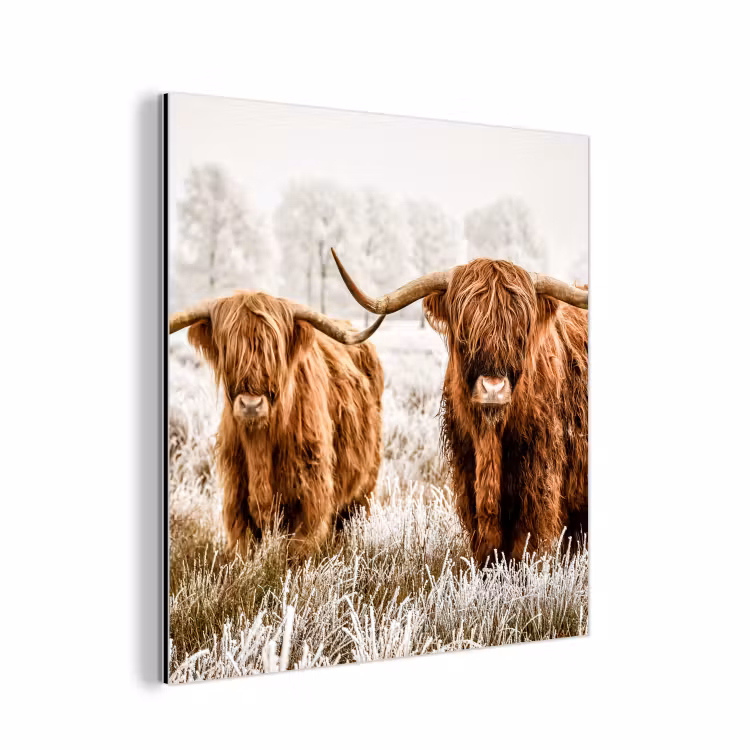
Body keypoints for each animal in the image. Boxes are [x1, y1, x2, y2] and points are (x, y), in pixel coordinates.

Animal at [169, 292, 385, 558]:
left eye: (275, 351)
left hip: (364, 487)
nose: (251, 405)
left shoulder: (310, 498)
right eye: (228, 349)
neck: (259, 444)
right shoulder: (236, 500)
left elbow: (298, 552)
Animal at [331, 249, 588, 565]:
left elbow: (524, 543)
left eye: (520, 332)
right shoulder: (467, 474)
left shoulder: (538, 481)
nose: (493, 388)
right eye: (466, 331)